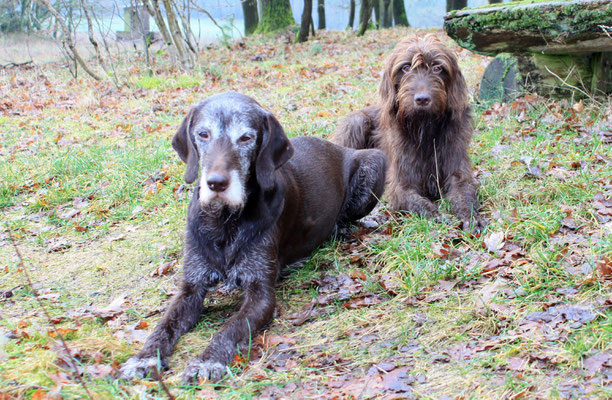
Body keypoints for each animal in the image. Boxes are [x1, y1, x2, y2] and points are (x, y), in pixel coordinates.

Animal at [120, 92, 388, 382]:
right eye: (203, 134)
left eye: (246, 138)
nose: (216, 183)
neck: (224, 221)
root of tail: (341, 147)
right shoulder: (190, 288)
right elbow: (163, 325)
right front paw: (144, 357)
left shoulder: (260, 293)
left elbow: (231, 327)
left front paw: (208, 360)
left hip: (375, 161)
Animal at [332, 36, 486, 233]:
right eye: (405, 68)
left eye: (437, 68)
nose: (422, 99)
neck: (424, 127)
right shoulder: (401, 184)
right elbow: (416, 201)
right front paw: (435, 215)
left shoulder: (458, 171)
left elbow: (464, 193)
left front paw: (471, 216)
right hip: (356, 122)